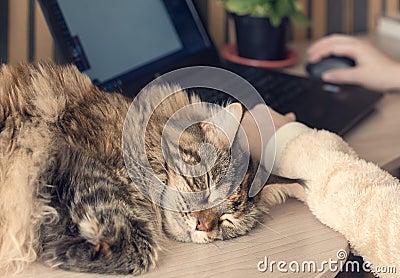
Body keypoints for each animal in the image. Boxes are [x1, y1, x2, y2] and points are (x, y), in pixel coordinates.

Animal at [0, 63, 300, 276]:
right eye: (204, 184)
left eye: (227, 221)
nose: (202, 225)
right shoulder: (70, 160)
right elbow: (140, 246)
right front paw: (58, 250)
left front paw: (62, 247)